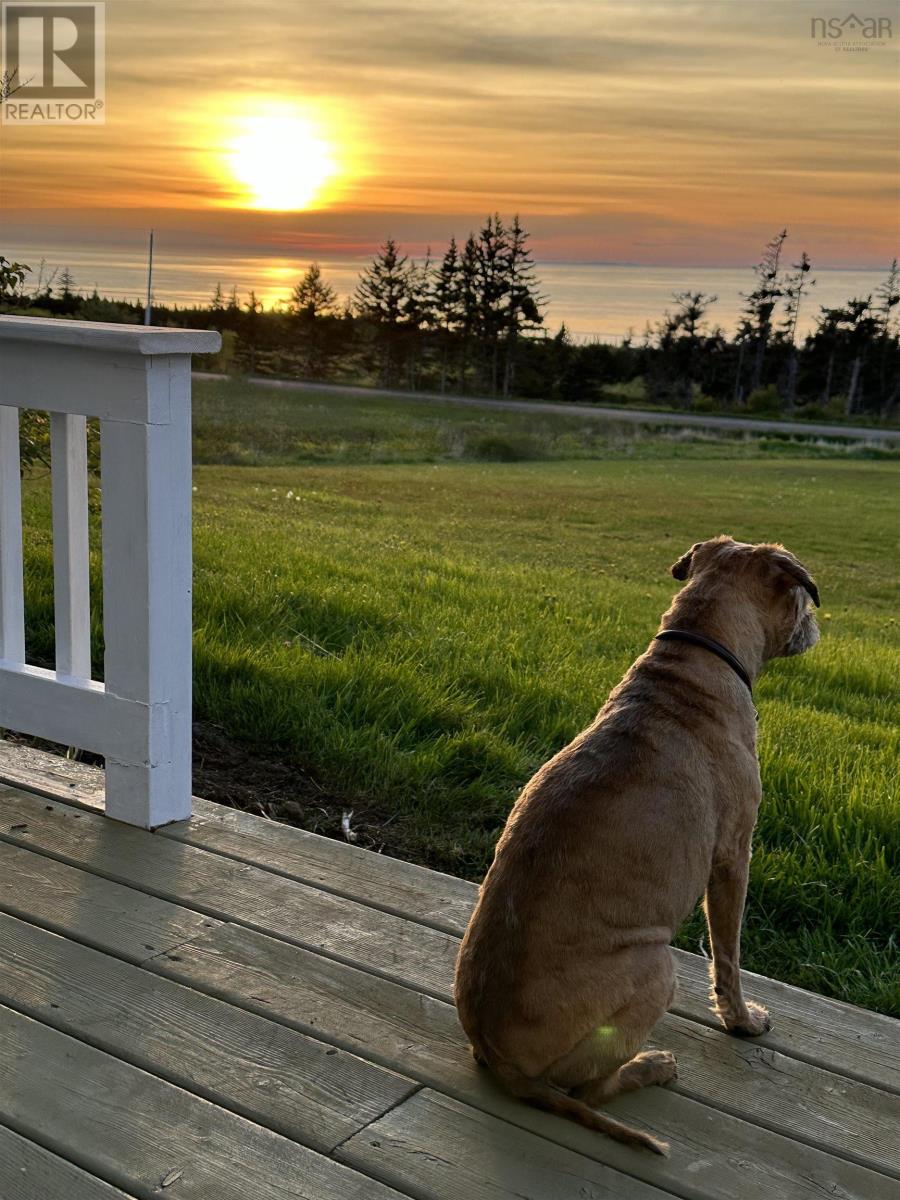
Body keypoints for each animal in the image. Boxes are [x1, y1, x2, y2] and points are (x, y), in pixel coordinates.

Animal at [453, 535, 820, 1152]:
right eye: (800, 595)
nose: (817, 624)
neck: (698, 653)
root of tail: (495, 1054)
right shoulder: (733, 857)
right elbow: (729, 956)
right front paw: (742, 1021)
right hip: (657, 968)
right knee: (590, 1090)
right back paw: (652, 1066)